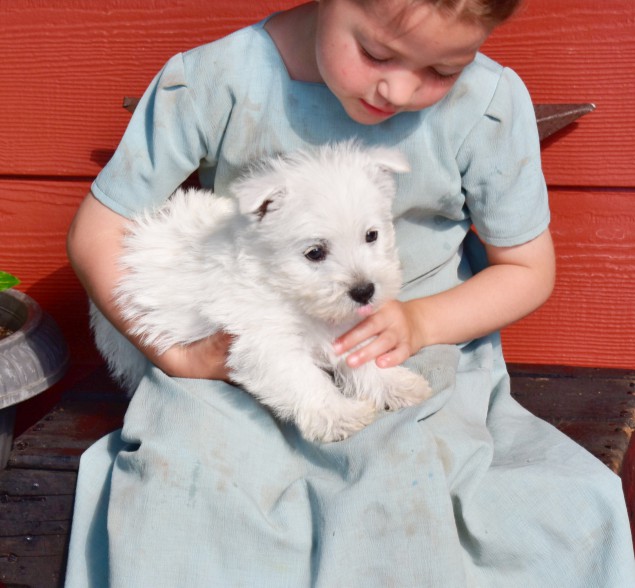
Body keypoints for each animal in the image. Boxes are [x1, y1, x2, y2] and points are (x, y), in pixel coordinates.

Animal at [92, 142, 432, 440]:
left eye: (371, 235)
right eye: (315, 252)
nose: (364, 291)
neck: (284, 286)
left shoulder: (343, 326)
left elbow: (363, 357)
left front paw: (394, 384)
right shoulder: (266, 342)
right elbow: (305, 380)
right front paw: (338, 415)